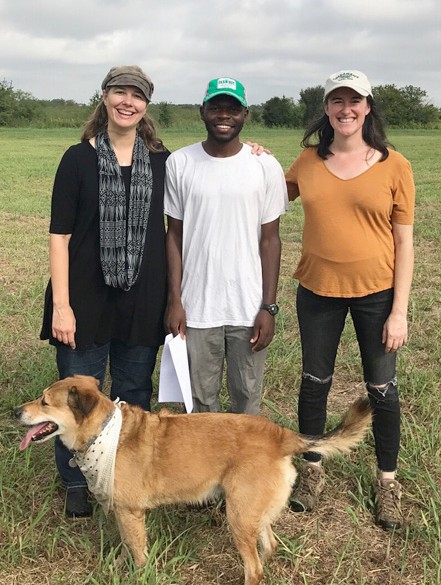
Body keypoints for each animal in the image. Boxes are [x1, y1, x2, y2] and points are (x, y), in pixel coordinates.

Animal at [14, 376, 372, 580]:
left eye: (45, 402)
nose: (16, 411)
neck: (106, 433)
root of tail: (282, 436)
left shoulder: (130, 514)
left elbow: (139, 554)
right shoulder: (123, 514)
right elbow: (127, 547)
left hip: (238, 516)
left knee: (254, 568)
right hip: (252, 512)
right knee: (268, 547)